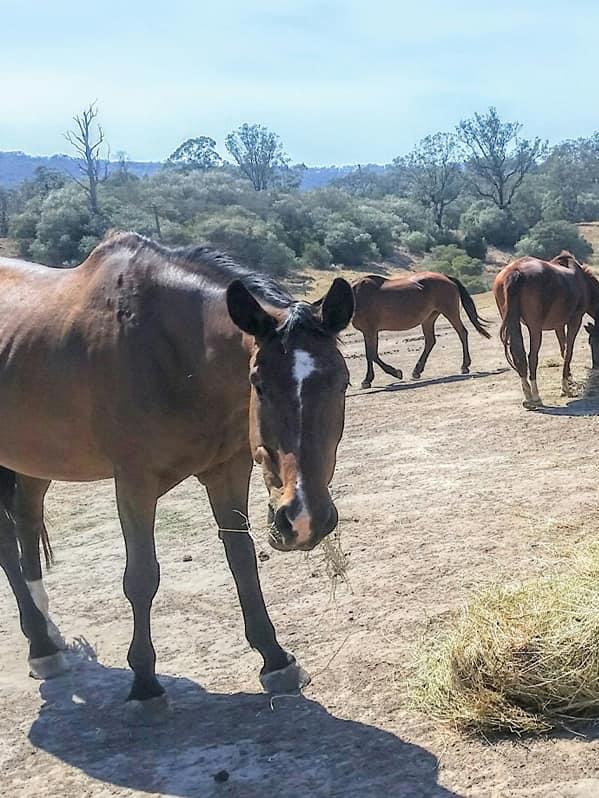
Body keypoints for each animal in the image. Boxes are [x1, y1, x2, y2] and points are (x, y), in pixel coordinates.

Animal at [0, 230, 356, 720]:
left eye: (341, 381)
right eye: (259, 384)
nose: (304, 519)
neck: (167, 352)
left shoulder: (227, 471)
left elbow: (242, 560)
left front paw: (275, 659)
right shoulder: (134, 483)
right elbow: (141, 577)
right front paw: (145, 684)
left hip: (35, 462)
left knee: (27, 525)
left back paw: (48, 639)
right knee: (7, 546)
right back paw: (39, 644)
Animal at [354, 272, 490, 390]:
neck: (356, 295)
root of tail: (446, 277)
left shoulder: (370, 330)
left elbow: (371, 354)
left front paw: (393, 373)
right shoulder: (368, 331)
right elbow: (371, 354)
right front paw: (369, 379)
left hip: (450, 312)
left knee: (462, 333)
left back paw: (464, 366)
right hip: (429, 318)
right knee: (430, 341)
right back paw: (417, 371)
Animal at [492, 252, 599, 412]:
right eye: (591, 343)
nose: (596, 366)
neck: (584, 283)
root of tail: (515, 272)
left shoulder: (558, 325)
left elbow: (563, 350)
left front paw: (569, 380)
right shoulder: (575, 320)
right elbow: (568, 352)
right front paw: (565, 387)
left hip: (513, 323)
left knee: (519, 355)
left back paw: (528, 397)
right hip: (535, 327)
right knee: (532, 357)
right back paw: (536, 397)